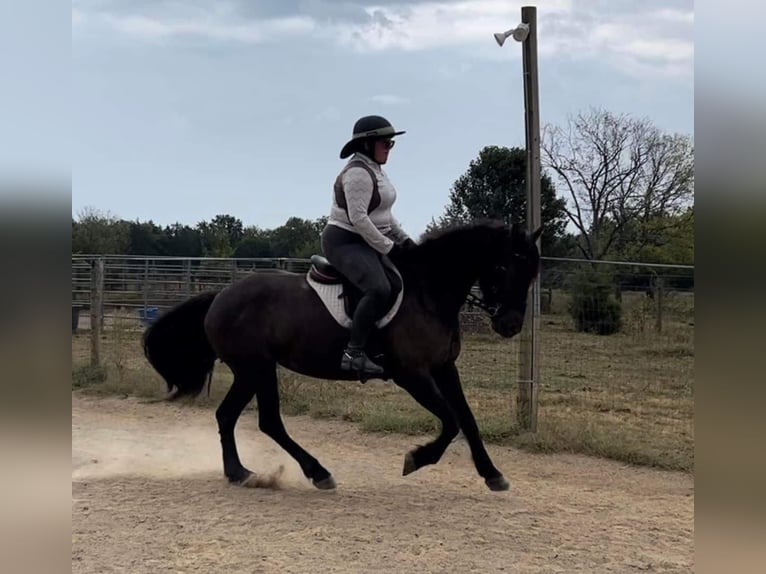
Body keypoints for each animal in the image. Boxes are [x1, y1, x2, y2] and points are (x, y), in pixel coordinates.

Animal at [141, 223, 544, 492]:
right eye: (504, 267)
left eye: (531, 272)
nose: (510, 325)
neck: (427, 292)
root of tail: (221, 295)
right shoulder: (412, 374)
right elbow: (450, 421)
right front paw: (416, 459)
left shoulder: (445, 369)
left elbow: (467, 420)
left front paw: (493, 474)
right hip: (256, 368)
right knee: (266, 420)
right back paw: (311, 473)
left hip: (251, 371)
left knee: (233, 416)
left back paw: (242, 473)